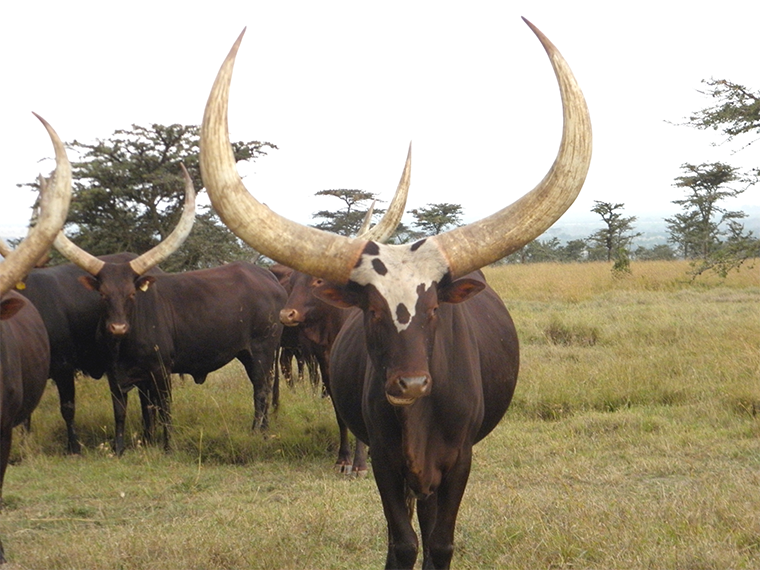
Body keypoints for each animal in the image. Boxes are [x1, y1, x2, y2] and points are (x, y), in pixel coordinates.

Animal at [54, 172, 287, 454]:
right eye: (103, 295)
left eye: (131, 294)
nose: (118, 328)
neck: (123, 345)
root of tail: (268, 276)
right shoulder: (117, 375)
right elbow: (127, 412)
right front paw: (126, 447)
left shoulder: (161, 371)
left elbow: (164, 409)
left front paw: (167, 446)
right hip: (248, 353)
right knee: (263, 388)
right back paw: (263, 430)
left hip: (263, 349)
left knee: (261, 390)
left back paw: (257, 432)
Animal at [200, 17, 592, 570]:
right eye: (370, 310)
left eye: (434, 309)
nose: (409, 384)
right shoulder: (387, 461)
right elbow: (401, 541)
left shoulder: (459, 462)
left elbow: (440, 542)